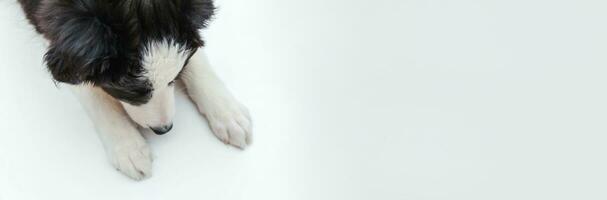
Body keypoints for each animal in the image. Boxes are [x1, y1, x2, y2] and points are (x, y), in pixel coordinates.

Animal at [17, 0, 252, 180]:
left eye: (174, 78)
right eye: (132, 91)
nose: (164, 129)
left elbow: (195, 56)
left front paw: (228, 113)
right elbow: (89, 87)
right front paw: (128, 147)